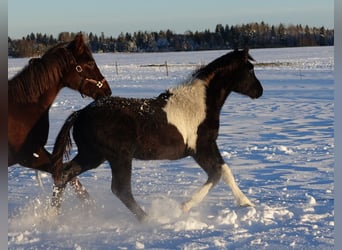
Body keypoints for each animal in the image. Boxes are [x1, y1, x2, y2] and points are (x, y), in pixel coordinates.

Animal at [8, 33, 112, 204]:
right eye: (90, 63)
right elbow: (63, 175)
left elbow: (66, 176)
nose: (107, 91)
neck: (22, 108)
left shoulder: (33, 153)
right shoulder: (28, 155)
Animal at [52, 48, 264, 221]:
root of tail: (80, 113)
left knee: (64, 175)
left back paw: (51, 216)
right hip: (118, 157)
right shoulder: (201, 148)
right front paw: (186, 206)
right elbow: (219, 173)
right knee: (121, 190)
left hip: (93, 156)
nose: (259, 91)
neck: (200, 103)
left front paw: (244, 203)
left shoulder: (206, 146)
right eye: (250, 69)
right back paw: (148, 219)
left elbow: (222, 172)